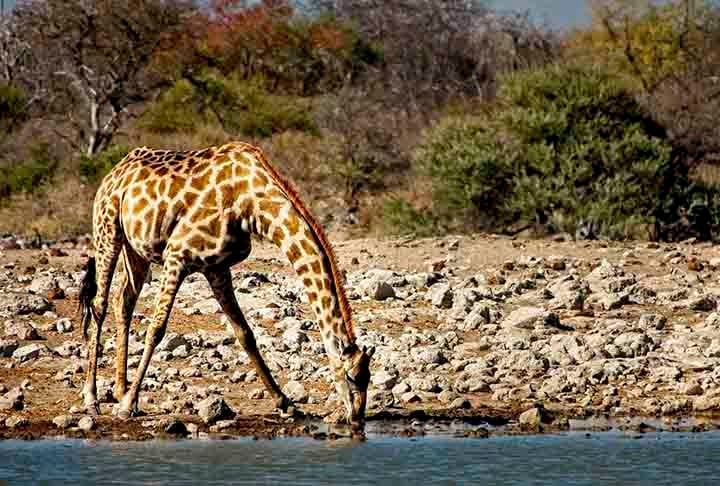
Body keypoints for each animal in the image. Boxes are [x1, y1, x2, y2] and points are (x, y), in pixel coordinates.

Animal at [77, 140, 376, 426]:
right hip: (107, 230)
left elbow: (246, 335)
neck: (252, 204)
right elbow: (156, 330)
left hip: (136, 248)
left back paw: (120, 390)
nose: (357, 419)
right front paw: (126, 408)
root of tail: (115, 171)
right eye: (352, 377)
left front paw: (286, 403)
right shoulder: (177, 255)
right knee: (100, 304)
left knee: (124, 301)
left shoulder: (217, 268)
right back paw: (93, 398)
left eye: (369, 378)